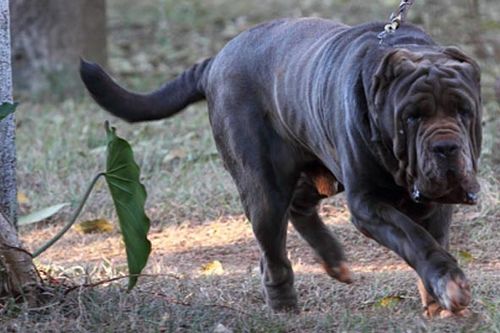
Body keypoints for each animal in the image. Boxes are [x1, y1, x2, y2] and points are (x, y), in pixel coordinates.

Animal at [80, 17, 482, 316]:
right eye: (412, 117)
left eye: (464, 110)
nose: (446, 147)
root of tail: (215, 62)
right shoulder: (367, 203)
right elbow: (414, 238)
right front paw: (449, 283)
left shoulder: (434, 203)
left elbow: (433, 238)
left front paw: (437, 298)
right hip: (264, 187)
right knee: (273, 250)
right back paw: (285, 305)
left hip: (317, 165)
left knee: (300, 206)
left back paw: (334, 260)